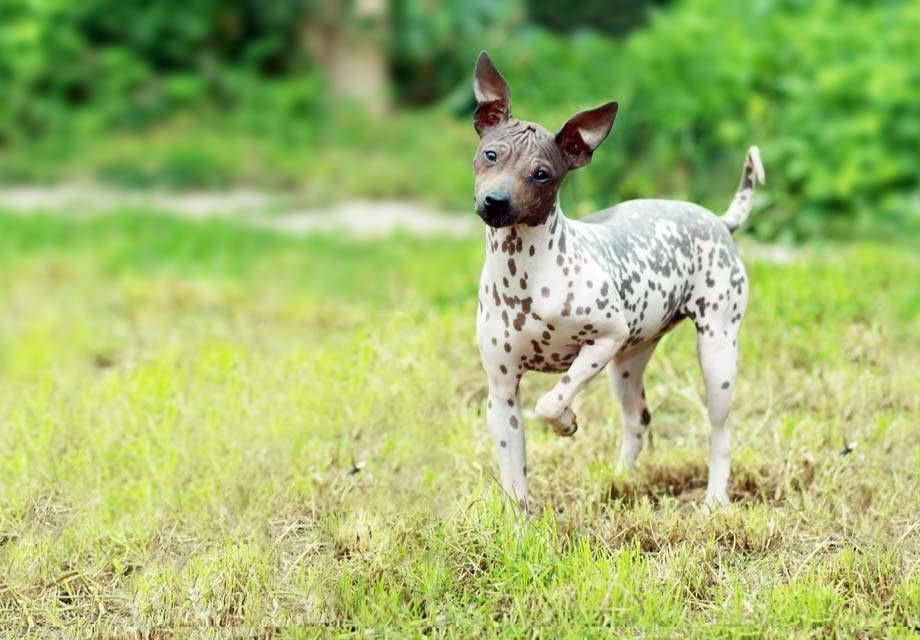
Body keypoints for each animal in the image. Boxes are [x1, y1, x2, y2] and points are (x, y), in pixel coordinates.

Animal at [470, 51, 764, 510]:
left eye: (542, 174)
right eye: (490, 154)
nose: (495, 202)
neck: (526, 277)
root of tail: (718, 219)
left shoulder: (604, 339)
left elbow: (550, 401)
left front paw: (566, 420)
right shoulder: (501, 395)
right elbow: (514, 479)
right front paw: (519, 523)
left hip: (716, 354)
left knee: (720, 433)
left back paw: (715, 500)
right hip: (627, 364)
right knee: (637, 420)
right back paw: (618, 480)